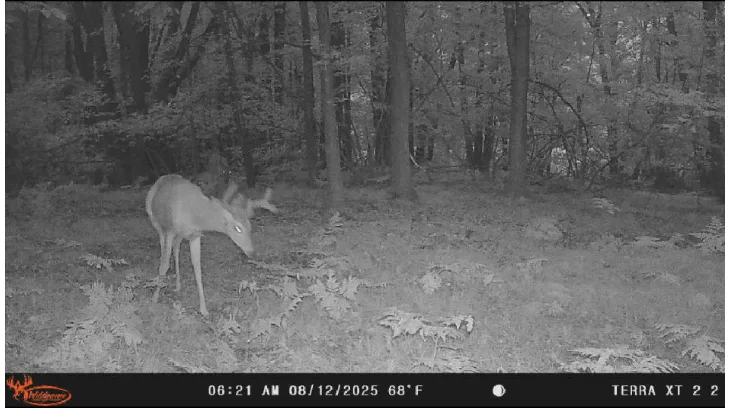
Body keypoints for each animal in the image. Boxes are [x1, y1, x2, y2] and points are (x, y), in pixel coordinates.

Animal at [145, 174, 278, 316]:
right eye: (237, 228)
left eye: (250, 227)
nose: (253, 253)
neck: (195, 217)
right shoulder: (170, 229)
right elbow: (164, 264)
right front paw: (155, 298)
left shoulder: (195, 235)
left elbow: (197, 268)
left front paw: (203, 309)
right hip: (156, 221)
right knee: (163, 248)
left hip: (179, 235)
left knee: (176, 249)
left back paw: (178, 285)